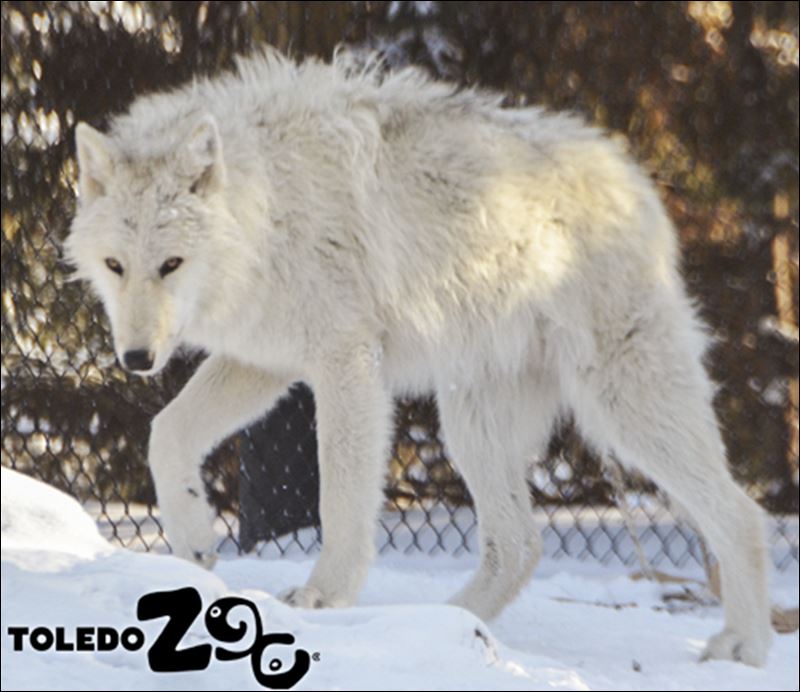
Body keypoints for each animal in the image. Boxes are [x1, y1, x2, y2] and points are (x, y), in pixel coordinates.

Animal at [65, 48, 772, 665]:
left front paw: (322, 598)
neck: (268, 207)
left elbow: (341, 499)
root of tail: (636, 179)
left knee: (742, 514)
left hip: (621, 407)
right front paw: (192, 540)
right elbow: (166, 434)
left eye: (172, 264)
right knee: (519, 544)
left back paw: (743, 646)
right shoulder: (264, 364)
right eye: (116, 266)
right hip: (472, 426)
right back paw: (444, 627)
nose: (136, 359)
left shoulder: (346, 362)